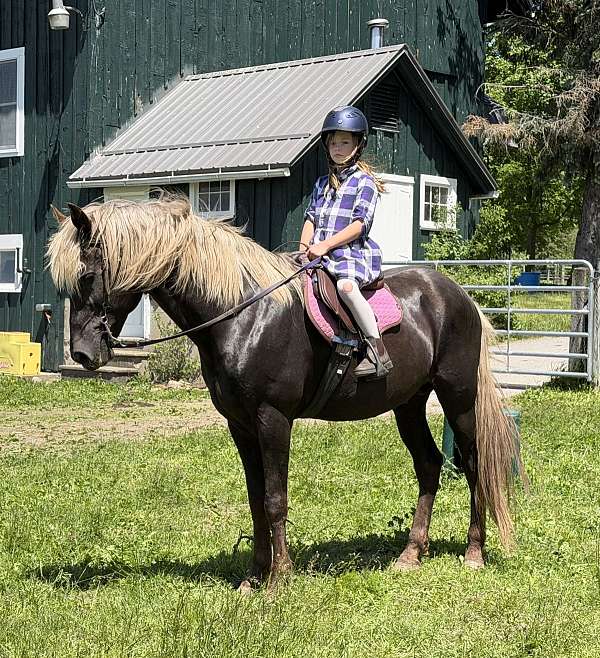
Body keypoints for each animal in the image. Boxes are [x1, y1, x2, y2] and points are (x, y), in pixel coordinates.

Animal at [47, 197, 521, 589]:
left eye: (88, 275)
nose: (83, 354)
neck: (241, 314)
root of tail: (460, 296)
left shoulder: (272, 419)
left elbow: (275, 499)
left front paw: (280, 579)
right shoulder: (240, 425)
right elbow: (256, 499)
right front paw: (254, 576)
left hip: (457, 399)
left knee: (473, 464)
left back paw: (473, 552)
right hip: (408, 404)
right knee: (429, 465)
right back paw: (410, 554)